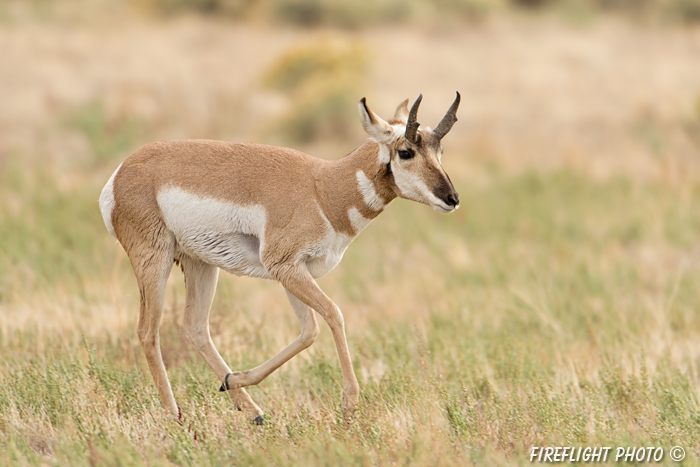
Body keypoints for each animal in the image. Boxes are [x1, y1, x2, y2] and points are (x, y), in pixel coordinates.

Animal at [97, 91, 460, 424]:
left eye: (439, 150)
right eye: (405, 151)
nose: (452, 198)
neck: (322, 188)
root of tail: (120, 175)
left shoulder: (292, 272)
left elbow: (309, 330)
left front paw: (235, 380)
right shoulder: (286, 268)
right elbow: (334, 314)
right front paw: (349, 406)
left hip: (201, 264)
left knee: (196, 328)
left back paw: (250, 408)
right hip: (154, 260)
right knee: (148, 331)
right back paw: (176, 416)